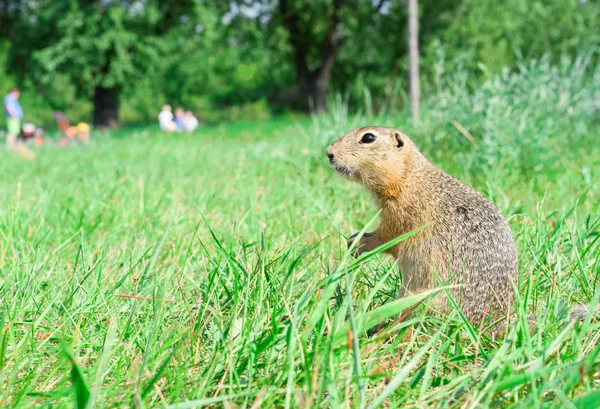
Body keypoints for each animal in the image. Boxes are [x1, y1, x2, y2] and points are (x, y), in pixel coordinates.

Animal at [328, 126, 600, 330]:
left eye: (368, 137)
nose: (328, 153)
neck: (409, 177)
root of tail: (497, 322)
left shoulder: (403, 214)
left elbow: (388, 237)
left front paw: (359, 241)